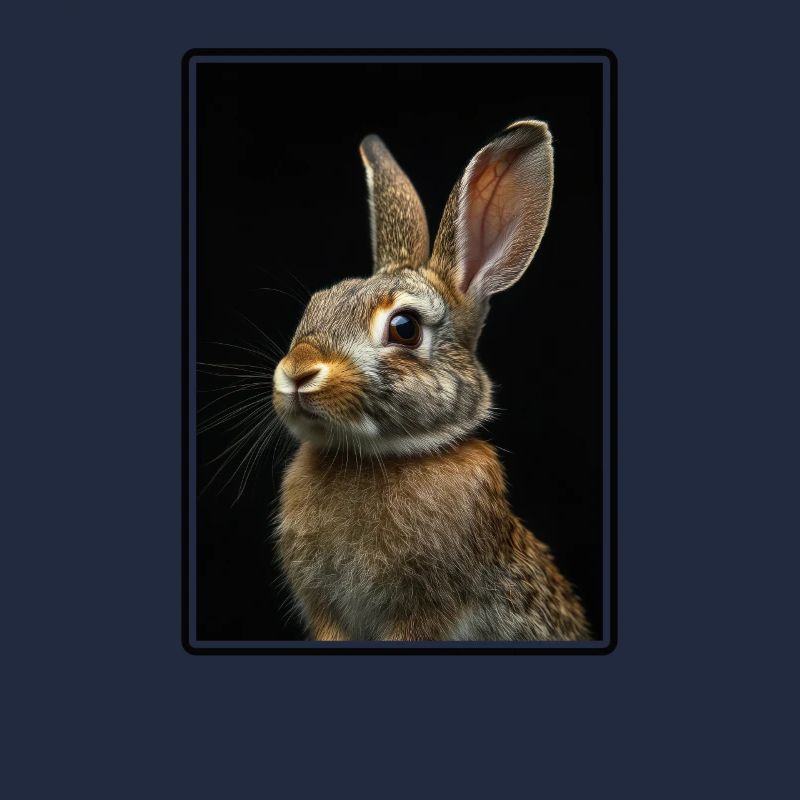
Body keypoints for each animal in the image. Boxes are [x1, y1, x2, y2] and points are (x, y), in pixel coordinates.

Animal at [271, 120, 590, 641]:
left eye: (404, 328)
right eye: (316, 305)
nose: (298, 373)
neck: (378, 456)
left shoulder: (423, 613)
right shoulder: (327, 614)